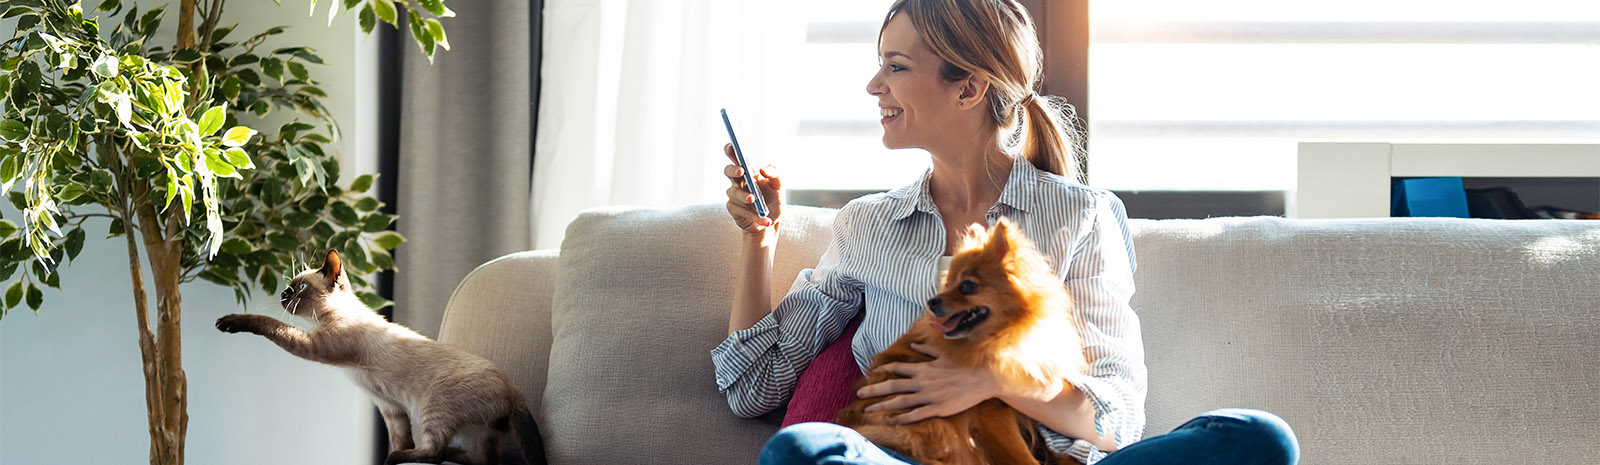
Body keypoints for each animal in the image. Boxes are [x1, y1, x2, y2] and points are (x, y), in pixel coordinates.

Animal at [219, 250, 544, 465]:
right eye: (290, 286)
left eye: (300, 287)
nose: (283, 294)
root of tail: (513, 389)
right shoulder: (389, 406)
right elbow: (399, 436)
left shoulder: (313, 346)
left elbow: (269, 324)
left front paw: (230, 322)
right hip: (476, 430)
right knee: (480, 460)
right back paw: (447, 455)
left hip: (434, 405)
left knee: (436, 453)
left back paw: (400, 458)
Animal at [838, 222, 1088, 465]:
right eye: (947, 283)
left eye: (967, 286)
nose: (931, 301)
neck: (1004, 335)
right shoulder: (992, 411)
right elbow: (1022, 457)